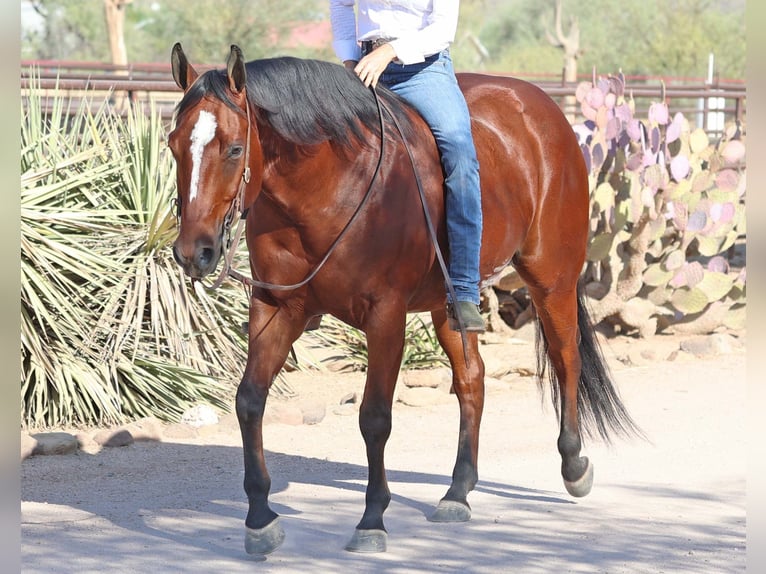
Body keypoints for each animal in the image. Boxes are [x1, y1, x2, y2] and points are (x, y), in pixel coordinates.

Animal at [170, 42, 640, 556]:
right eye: (173, 144)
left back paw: (574, 465)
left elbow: (374, 418)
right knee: (472, 380)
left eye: (234, 148)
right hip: (449, 305)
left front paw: (372, 519)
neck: (330, 189)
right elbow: (249, 402)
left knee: (565, 359)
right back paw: (458, 491)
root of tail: (544, 109)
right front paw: (259, 519)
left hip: (551, 279)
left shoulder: (385, 316)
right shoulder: (276, 309)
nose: (193, 252)